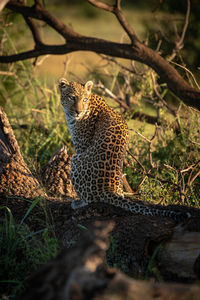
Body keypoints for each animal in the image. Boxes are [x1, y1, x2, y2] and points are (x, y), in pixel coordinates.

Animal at [58, 78, 191, 221]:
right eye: (72, 97)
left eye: (84, 99)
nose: (78, 112)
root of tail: (108, 190)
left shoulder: (81, 146)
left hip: (75, 160)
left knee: (90, 199)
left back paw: (77, 203)